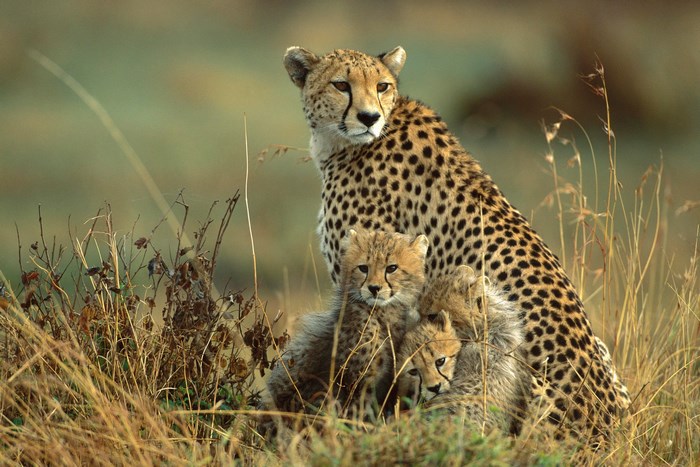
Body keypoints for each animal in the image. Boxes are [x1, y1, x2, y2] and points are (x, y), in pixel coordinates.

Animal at [265, 229, 429, 421]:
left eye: (392, 268)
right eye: (363, 268)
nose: (374, 288)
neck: (382, 313)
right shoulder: (356, 383)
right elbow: (356, 415)